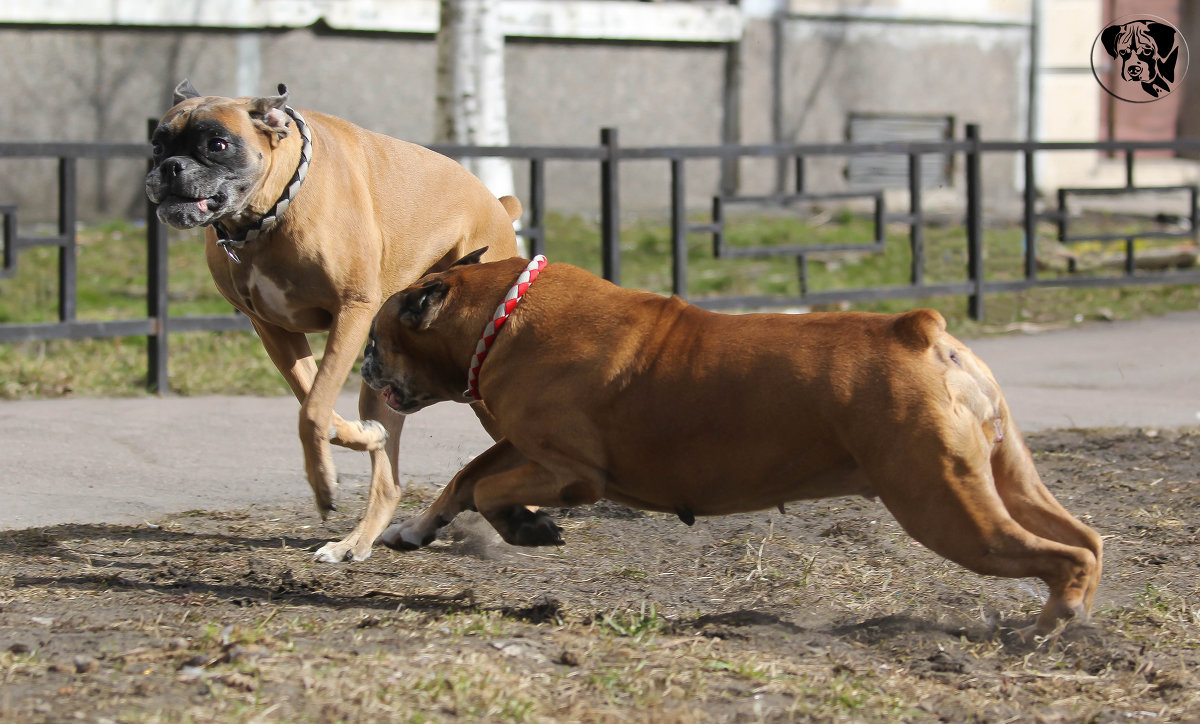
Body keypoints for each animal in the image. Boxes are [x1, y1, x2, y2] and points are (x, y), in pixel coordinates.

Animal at [142, 82, 518, 564]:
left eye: (217, 145)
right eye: (157, 145)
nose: (171, 167)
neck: (268, 215)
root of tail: (497, 204)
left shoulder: (351, 314)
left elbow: (314, 408)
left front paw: (324, 484)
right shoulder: (275, 332)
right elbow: (311, 398)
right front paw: (357, 437)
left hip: (476, 381)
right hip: (386, 386)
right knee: (389, 482)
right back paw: (355, 542)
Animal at [362, 253, 1104, 633]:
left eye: (377, 338)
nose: (364, 366)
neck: (502, 312)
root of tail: (922, 334)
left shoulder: (566, 471)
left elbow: (489, 487)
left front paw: (527, 528)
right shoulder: (524, 445)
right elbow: (467, 475)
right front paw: (414, 530)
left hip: (944, 507)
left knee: (1058, 556)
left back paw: (1050, 622)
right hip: (1005, 479)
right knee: (1087, 540)